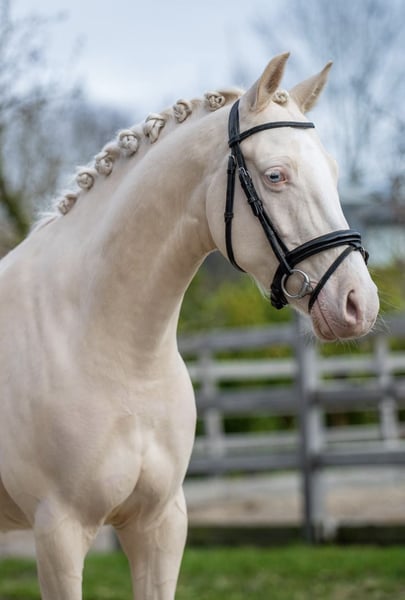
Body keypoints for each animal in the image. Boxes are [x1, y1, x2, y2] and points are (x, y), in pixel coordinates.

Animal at [0, 53, 379, 599]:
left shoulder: (160, 523)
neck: (112, 349)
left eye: (331, 172)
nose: (357, 304)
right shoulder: (59, 532)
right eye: (276, 175)